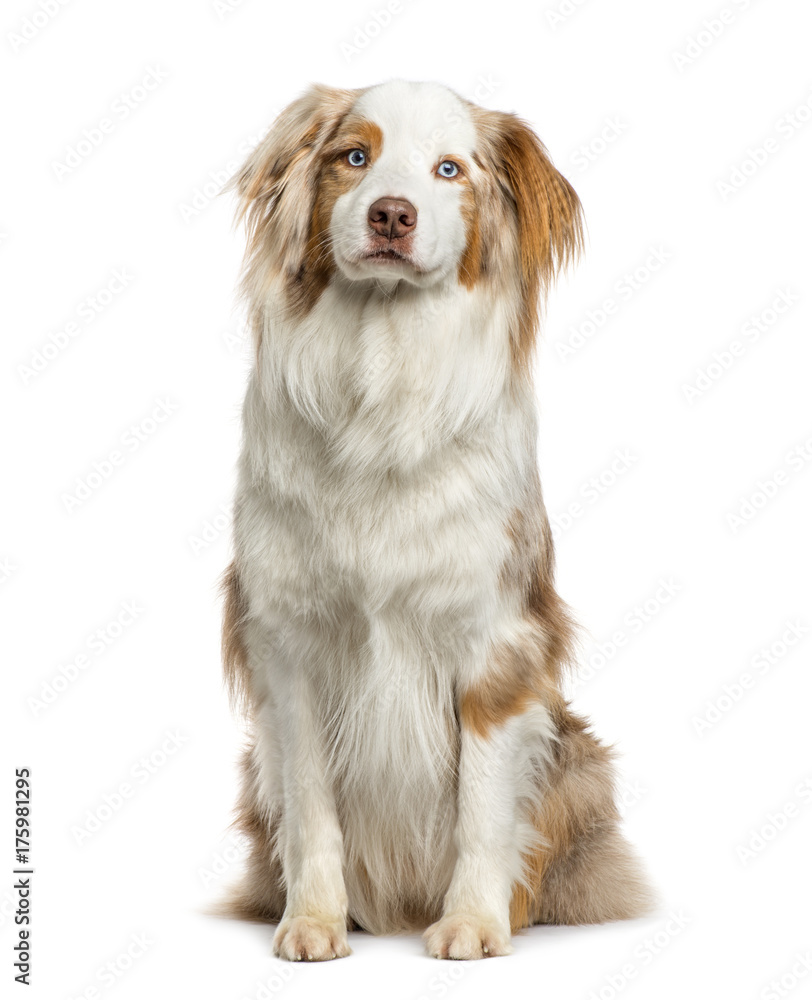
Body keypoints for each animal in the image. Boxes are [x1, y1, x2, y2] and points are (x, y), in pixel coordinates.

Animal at [219, 80, 652, 960]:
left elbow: (482, 805)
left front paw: (474, 924)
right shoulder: (290, 646)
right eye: (354, 156)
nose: (392, 214)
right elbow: (312, 809)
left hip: (579, 756)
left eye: (449, 169)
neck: (382, 378)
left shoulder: (495, 645)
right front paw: (313, 923)